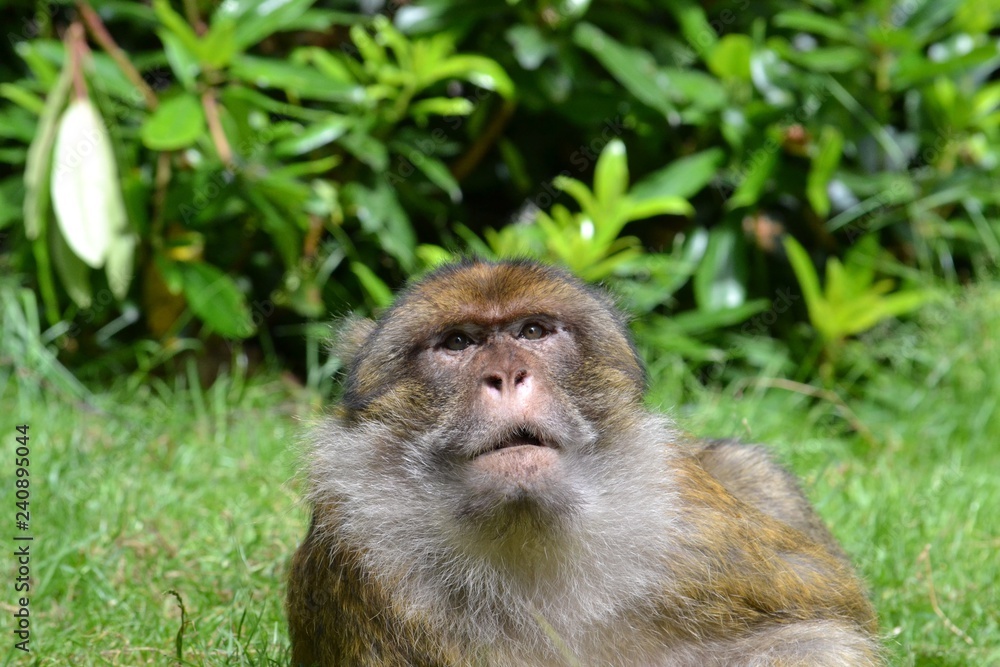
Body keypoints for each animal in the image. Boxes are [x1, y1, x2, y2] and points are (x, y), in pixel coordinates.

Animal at [286, 259, 881, 667]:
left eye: (532, 331)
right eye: (457, 342)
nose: (507, 374)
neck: (526, 533)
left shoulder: (687, 526)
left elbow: (830, 617)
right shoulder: (360, 557)